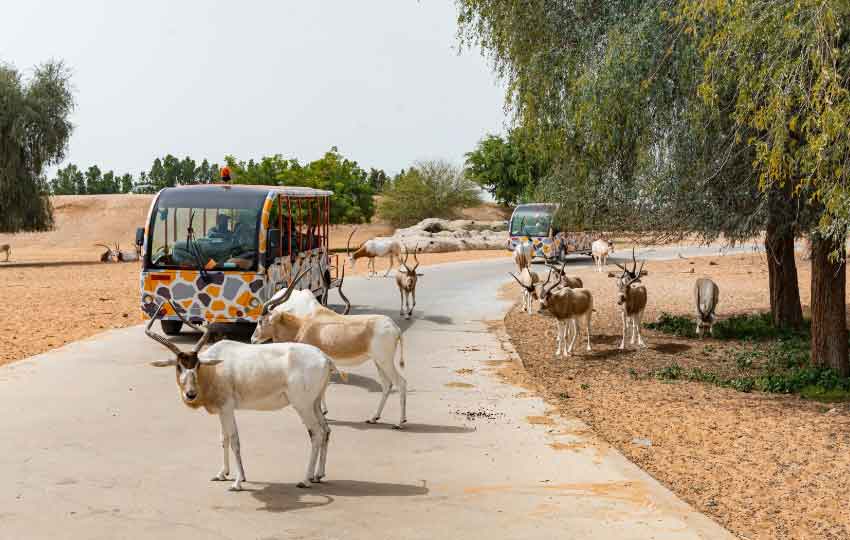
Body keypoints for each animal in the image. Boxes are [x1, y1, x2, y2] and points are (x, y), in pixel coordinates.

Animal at [144, 302, 332, 492]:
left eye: (196, 365)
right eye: (179, 366)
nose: (190, 394)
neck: (213, 369)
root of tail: (324, 358)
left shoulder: (227, 408)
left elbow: (234, 439)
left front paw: (238, 482)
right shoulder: (222, 410)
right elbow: (224, 438)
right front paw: (222, 474)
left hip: (302, 405)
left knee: (316, 433)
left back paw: (306, 480)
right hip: (314, 403)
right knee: (326, 430)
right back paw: (318, 475)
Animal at [248, 268, 408, 428]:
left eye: (260, 321)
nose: (253, 339)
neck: (302, 326)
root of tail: (394, 327)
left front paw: (321, 413)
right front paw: (324, 412)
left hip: (384, 361)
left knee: (400, 383)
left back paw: (400, 423)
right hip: (378, 362)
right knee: (387, 385)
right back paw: (374, 418)